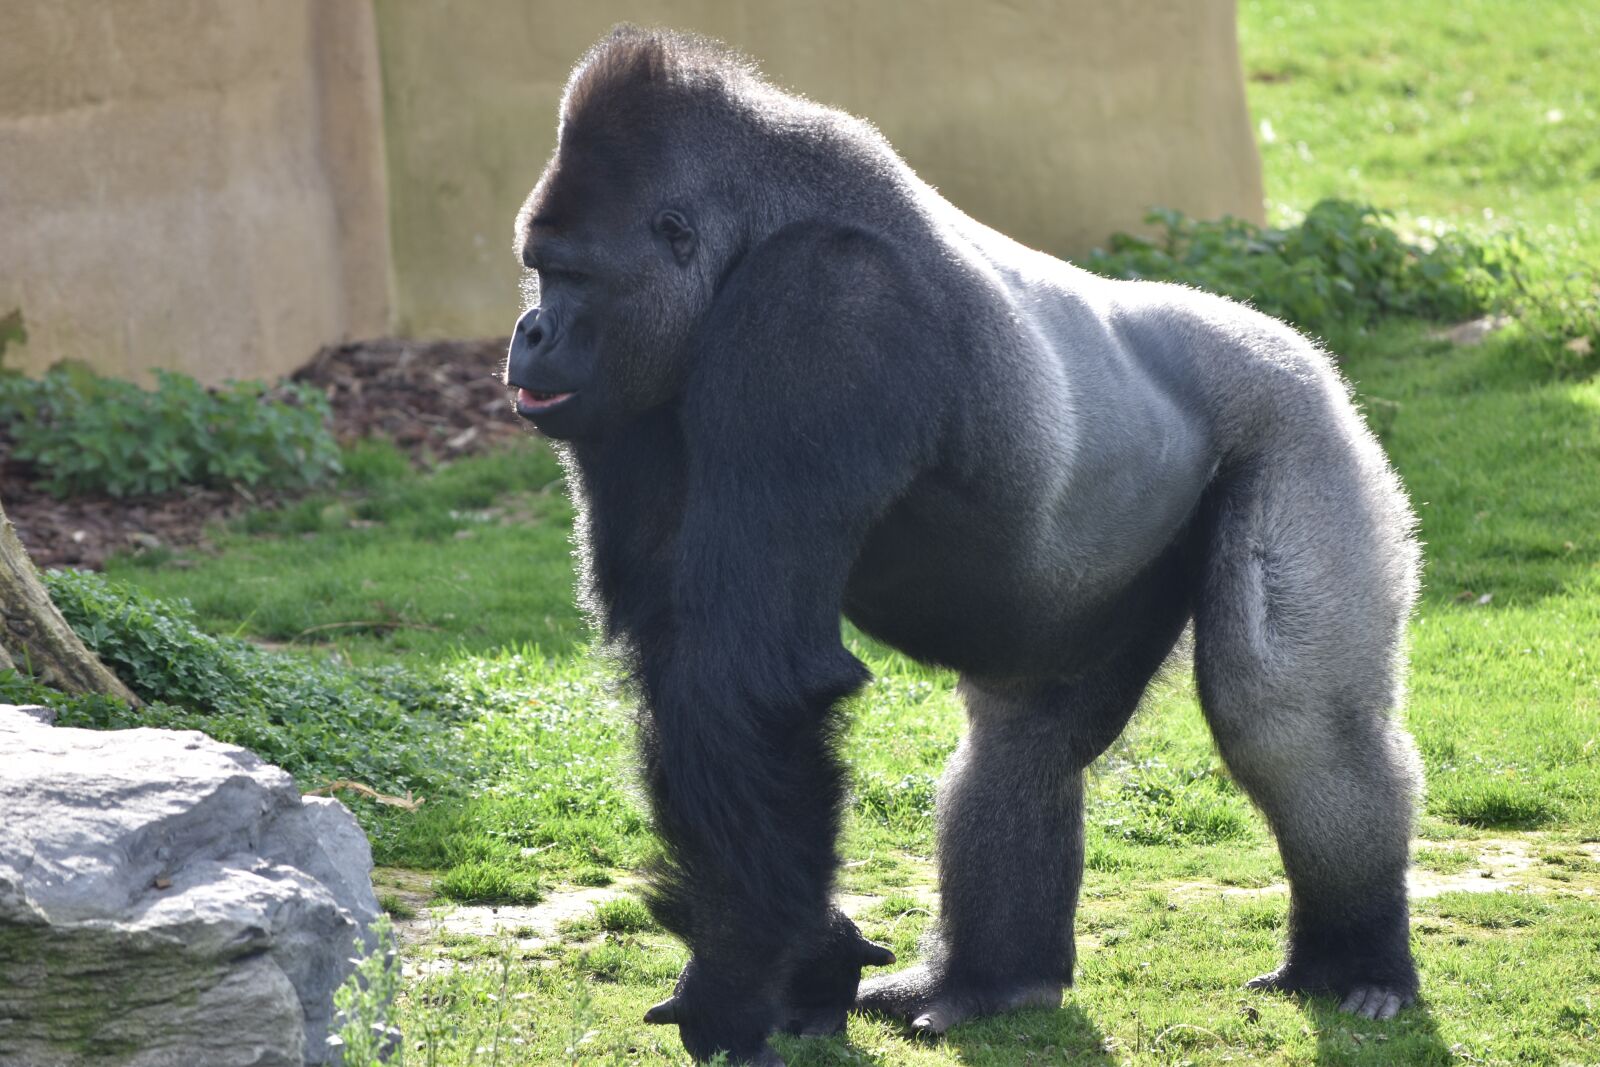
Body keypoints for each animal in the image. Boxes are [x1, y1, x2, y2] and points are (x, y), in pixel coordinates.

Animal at [503, 27, 1423, 1066]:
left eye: (572, 274)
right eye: (538, 267)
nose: (531, 328)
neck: (753, 232)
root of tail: (1301, 345)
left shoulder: (823, 309)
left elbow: (745, 677)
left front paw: (734, 979)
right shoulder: (624, 397)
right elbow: (684, 662)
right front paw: (805, 950)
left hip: (1301, 421)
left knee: (1288, 719)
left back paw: (1355, 959)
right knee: (1026, 739)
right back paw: (993, 979)